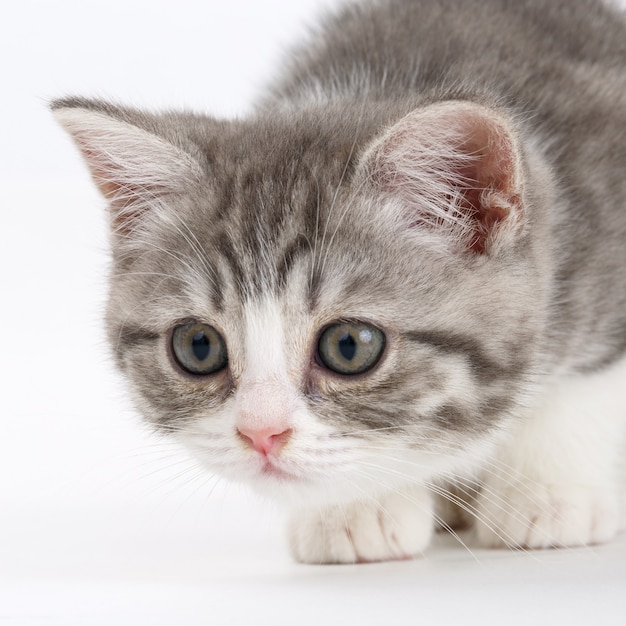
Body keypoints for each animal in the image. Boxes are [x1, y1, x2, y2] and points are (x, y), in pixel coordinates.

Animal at [52, 0, 624, 560]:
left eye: (350, 345)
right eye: (197, 346)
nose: (261, 433)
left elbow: (581, 389)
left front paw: (549, 493)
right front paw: (355, 509)